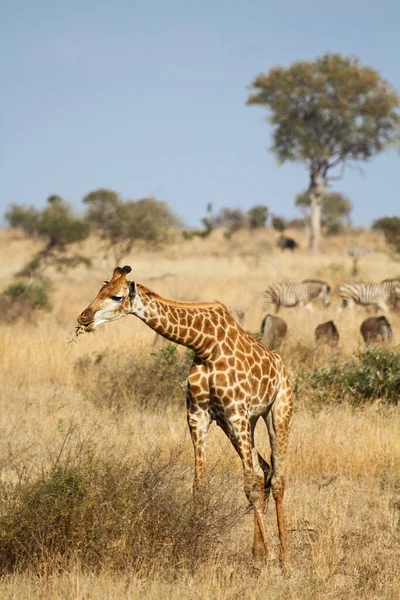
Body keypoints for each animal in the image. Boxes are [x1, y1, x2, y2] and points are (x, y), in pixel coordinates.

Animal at [77, 266, 294, 568]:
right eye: (100, 291)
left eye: (116, 296)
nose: (83, 318)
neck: (206, 345)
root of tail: (281, 365)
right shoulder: (199, 415)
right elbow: (198, 484)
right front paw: (194, 548)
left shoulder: (236, 411)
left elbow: (249, 486)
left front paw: (272, 558)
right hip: (241, 423)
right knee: (264, 469)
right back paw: (256, 554)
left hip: (277, 412)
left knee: (277, 479)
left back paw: (284, 558)